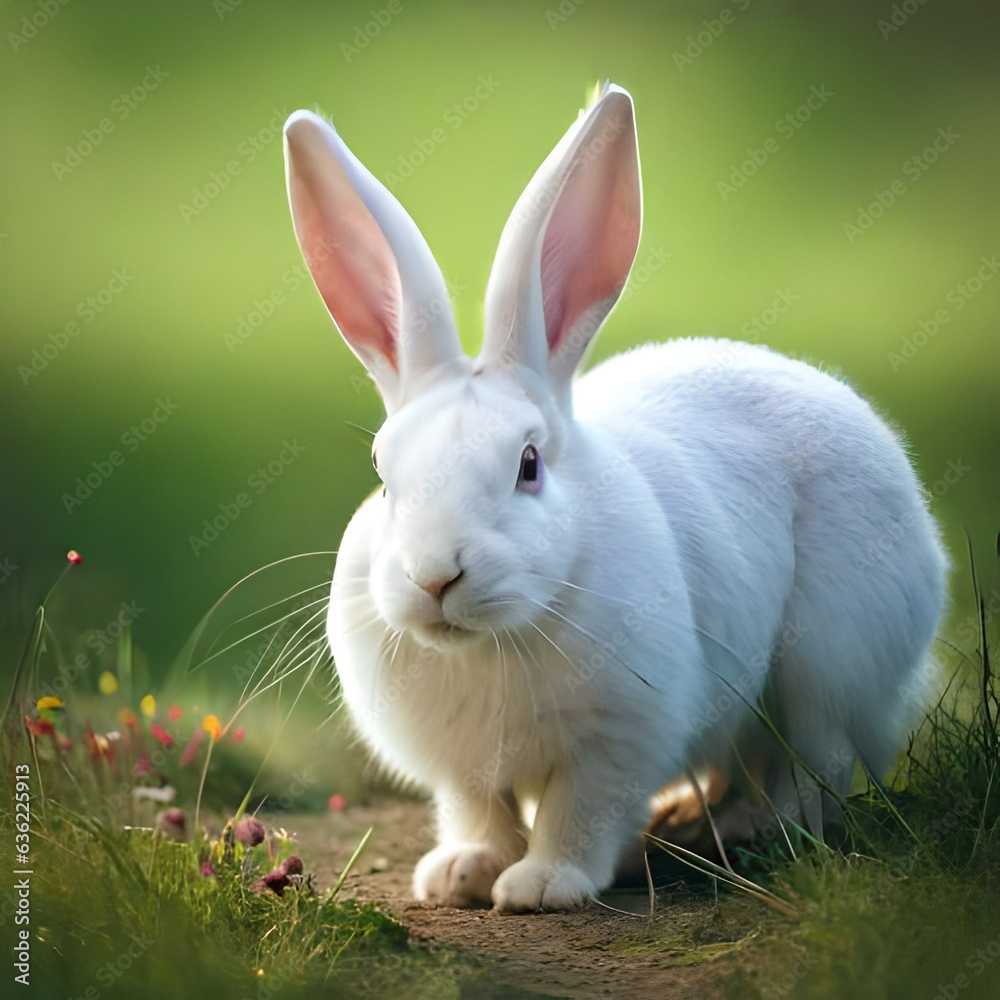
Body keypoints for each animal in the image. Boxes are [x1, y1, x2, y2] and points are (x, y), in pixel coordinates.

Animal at [282, 82, 947, 912]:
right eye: (382, 470)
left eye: (529, 464)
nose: (435, 577)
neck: (496, 638)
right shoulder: (462, 771)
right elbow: (479, 812)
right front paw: (462, 875)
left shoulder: (618, 740)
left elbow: (579, 814)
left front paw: (540, 887)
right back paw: (689, 816)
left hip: (830, 660)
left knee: (815, 764)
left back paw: (759, 831)